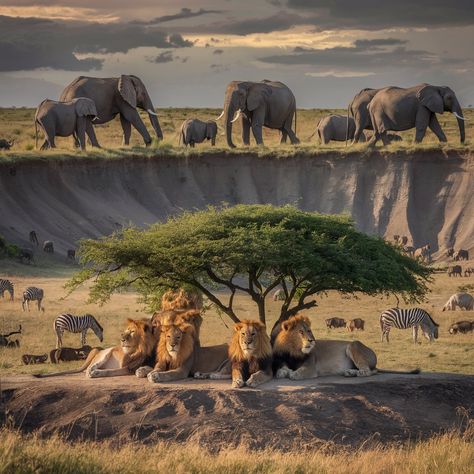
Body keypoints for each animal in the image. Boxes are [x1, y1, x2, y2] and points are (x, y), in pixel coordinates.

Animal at [272, 312, 420, 380]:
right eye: (301, 332)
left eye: (309, 330)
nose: (312, 340)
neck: (294, 351)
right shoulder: (283, 360)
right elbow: (281, 370)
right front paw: (283, 372)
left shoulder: (310, 368)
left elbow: (295, 374)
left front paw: (291, 373)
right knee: (372, 370)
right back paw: (349, 372)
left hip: (353, 345)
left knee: (369, 371)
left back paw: (354, 373)